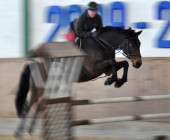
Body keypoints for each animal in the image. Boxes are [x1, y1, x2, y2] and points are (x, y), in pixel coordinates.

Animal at [14, 26, 142, 135]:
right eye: (131, 43)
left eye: (139, 43)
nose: (138, 63)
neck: (103, 45)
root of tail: (35, 63)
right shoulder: (93, 69)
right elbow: (113, 63)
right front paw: (111, 81)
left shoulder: (107, 70)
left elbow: (123, 64)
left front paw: (118, 81)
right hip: (40, 88)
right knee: (29, 106)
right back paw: (19, 132)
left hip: (52, 87)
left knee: (39, 105)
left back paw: (30, 129)